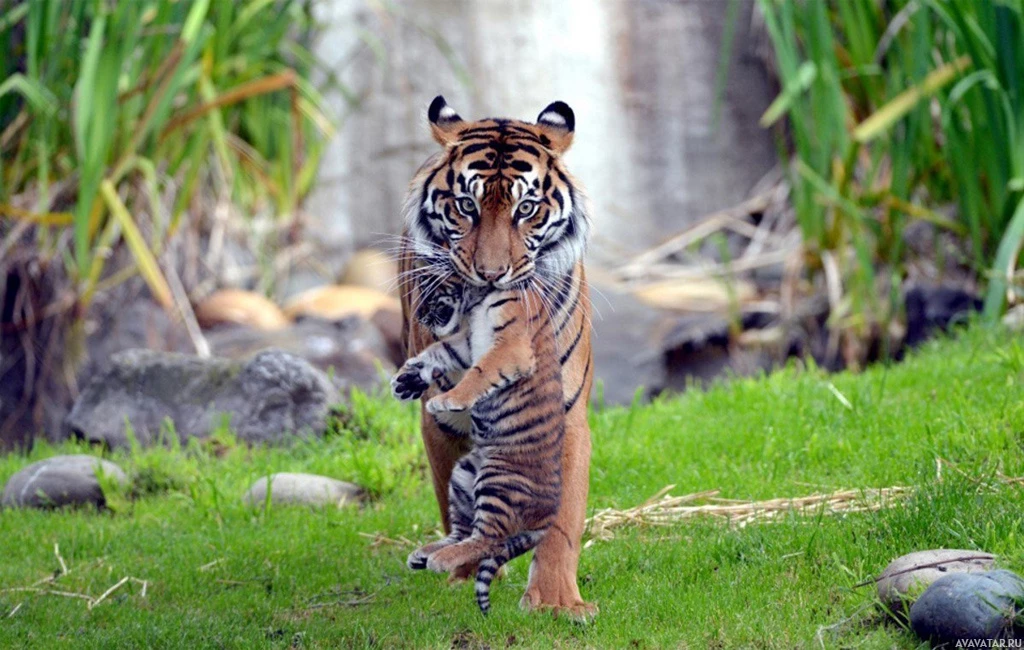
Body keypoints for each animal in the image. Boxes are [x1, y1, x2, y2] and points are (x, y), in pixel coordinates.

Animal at [397, 94, 598, 618]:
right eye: (466, 205)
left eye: (526, 209)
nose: (491, 274)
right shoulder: (440, 423)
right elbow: (451, 501)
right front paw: (463, 570)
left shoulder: (565, 413)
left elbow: (561, 517)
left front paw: (555, 601)